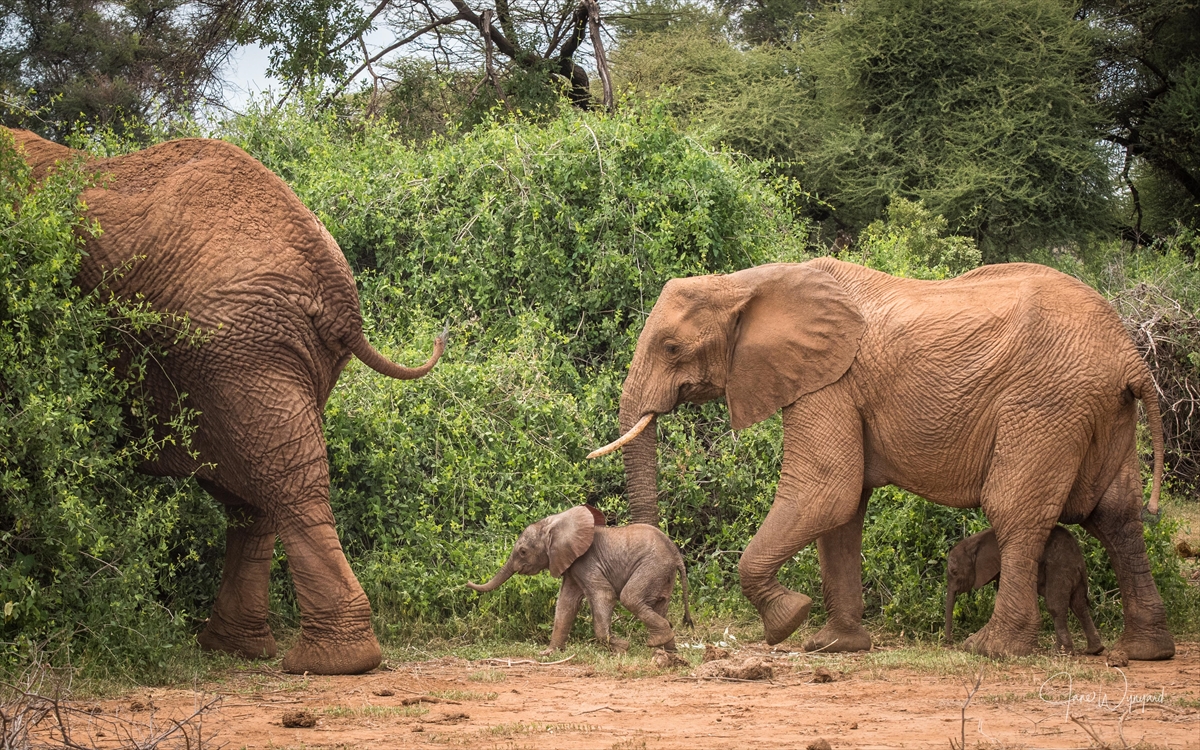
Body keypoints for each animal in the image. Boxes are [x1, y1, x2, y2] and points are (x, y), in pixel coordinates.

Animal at [7, 127, 448, 672]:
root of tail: (336, 292)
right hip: (267, 355)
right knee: (259, 491)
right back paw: (238, 648)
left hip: (237, 347)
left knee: (283, 482)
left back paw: (329, 661)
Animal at [468, 506, 696, 652]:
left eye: (523, 552)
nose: (467, 583)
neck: (554, 524)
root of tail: (676, 554)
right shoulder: (571, 566)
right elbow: (565, 604)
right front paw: (548, 654)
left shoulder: (586, 561)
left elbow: (604, 595)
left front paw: (622, 648)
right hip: (663, 573)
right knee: (660, 605)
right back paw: (669, 651)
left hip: (652, 566)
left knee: (630, 597)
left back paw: (656, 643)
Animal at [945, 523, 1104, 652]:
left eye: (954, 572)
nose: (949, 643)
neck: (974, 541)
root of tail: (1079, 563)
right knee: (1079, 605)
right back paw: (1094, 650)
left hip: (1059, 570)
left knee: (1056, 606)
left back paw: (1060, 652)